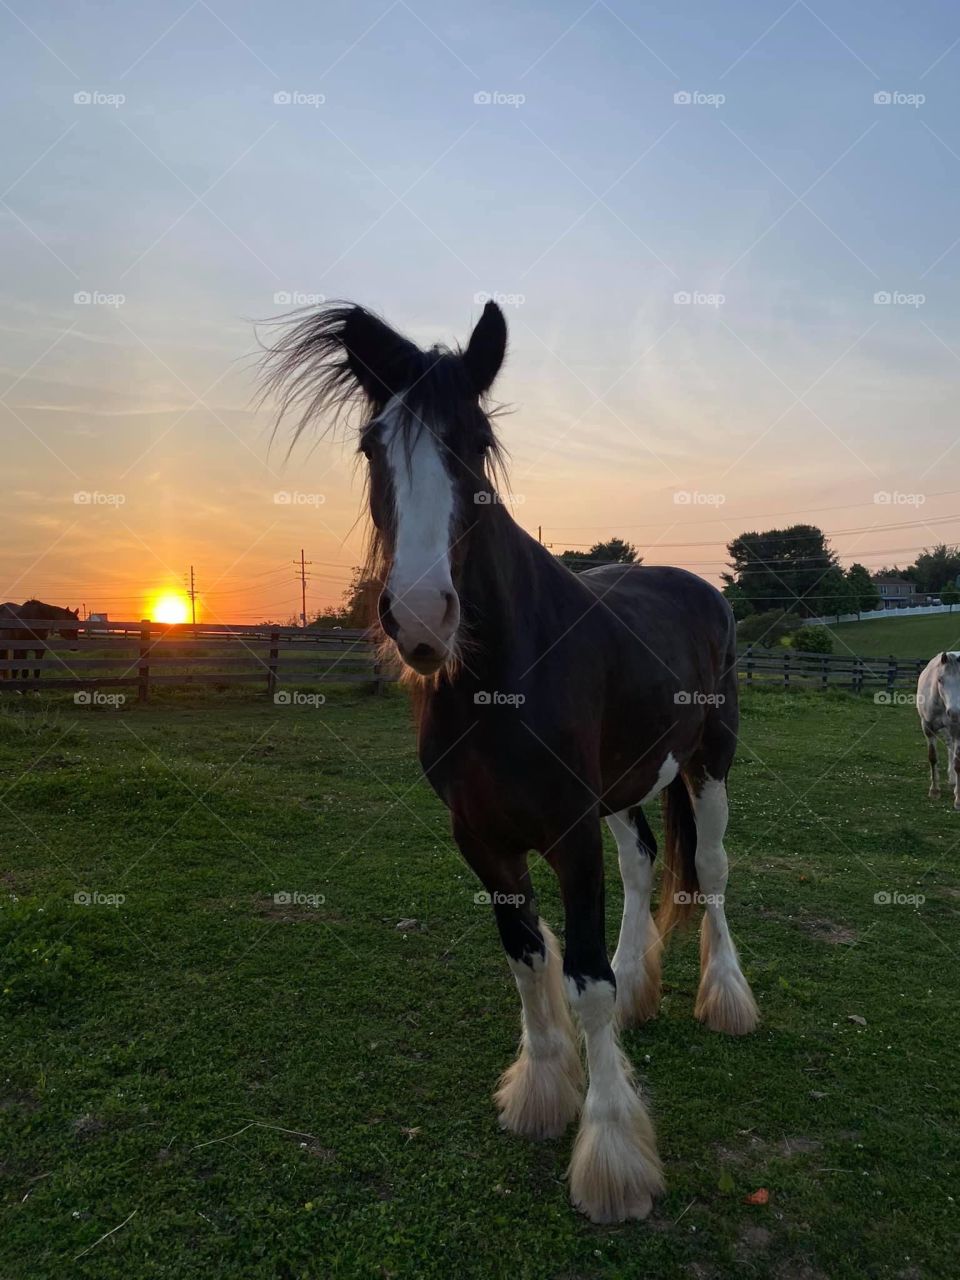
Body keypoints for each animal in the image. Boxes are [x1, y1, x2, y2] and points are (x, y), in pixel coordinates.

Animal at [260, 300, 759, 1223]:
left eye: (474, 440)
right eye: (371, 446)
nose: (422, 616)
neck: (500, 674)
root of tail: (701, 588)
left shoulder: (567, 831)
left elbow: (584, 982)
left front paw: (609, 1155)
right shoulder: (482, 837)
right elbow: (528, 961)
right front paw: (540, 1091)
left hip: (709, 762)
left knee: (707, 869)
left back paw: (728, 999)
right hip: (624, 786)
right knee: (644, 861)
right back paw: (642, 987)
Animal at [917, 652, 960, 808]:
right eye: (940, 679)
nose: (955, 713)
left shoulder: (957, 730)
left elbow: (958, 763)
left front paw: (958, 799)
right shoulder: (928, 727)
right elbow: (932, 757)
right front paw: (934, 791)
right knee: (950, 747)